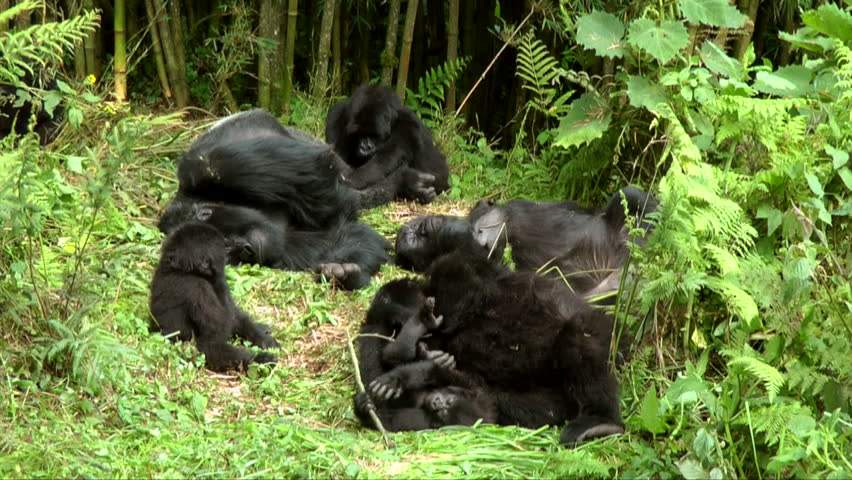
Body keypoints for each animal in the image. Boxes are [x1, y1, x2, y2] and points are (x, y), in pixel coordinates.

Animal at [148, 223, 278, 374]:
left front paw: (263, 338)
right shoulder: (197, 288)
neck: (181, 269)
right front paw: (260, 359)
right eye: (225, 248)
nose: (237, 244)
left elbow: (233, 314)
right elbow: (212, 341)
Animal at [156, 109, 390, 288]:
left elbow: (329, 202)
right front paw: (344, 272)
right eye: (224, 249)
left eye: (224, 241)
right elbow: (340, 237)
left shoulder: (221, 166)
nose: (245, 248)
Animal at [322, 85, 450, 205]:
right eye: (358, 134)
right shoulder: (335, 115)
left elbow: (383, 162)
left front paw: (349, 180)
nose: (365, 148)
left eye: (375, 135)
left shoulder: (408, 123)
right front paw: (409, 182)